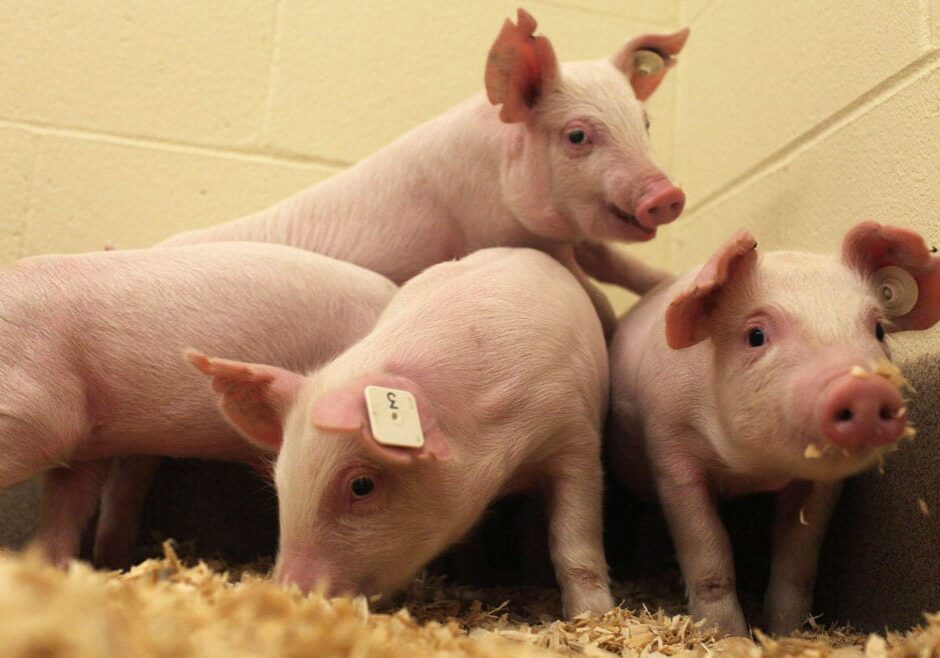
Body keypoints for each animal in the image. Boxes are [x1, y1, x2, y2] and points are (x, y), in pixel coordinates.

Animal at [161, 9, 689, 330]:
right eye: (577, 136)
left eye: (644, 122)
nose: (667, 196)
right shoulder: (497, 230)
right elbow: (593, 295)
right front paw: (615, 322)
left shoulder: (576, 235)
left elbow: (619, 263)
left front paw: (665, 282)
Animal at [189, 247, 613, 618]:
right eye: (281, 482)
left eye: (362, 485)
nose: (290, 594)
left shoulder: (575, 437)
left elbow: (574, 542)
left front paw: (591, 616)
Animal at [606, 222, 940, 636]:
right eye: (756, 336)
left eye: (878, 329)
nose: (864, 387)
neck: (752, 473)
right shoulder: (671, 454)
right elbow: (709, 556)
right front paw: (728, 637)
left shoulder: (821, 485)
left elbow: (797, 560)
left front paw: (787, 633)